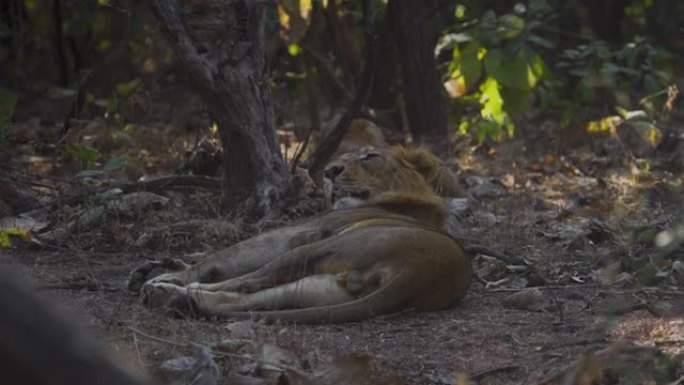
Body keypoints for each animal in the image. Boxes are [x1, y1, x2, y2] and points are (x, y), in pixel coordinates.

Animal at [127, 146, 470, 322]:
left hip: (314, 250)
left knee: (246, 282)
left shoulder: (293, 233)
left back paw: (166, 289)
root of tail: (421, 274)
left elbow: (221, 258)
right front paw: (162, 264)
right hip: (318, 288)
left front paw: (170, 272)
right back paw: (174, 299)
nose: (330, 171)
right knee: (249, 302)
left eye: (369, 156)